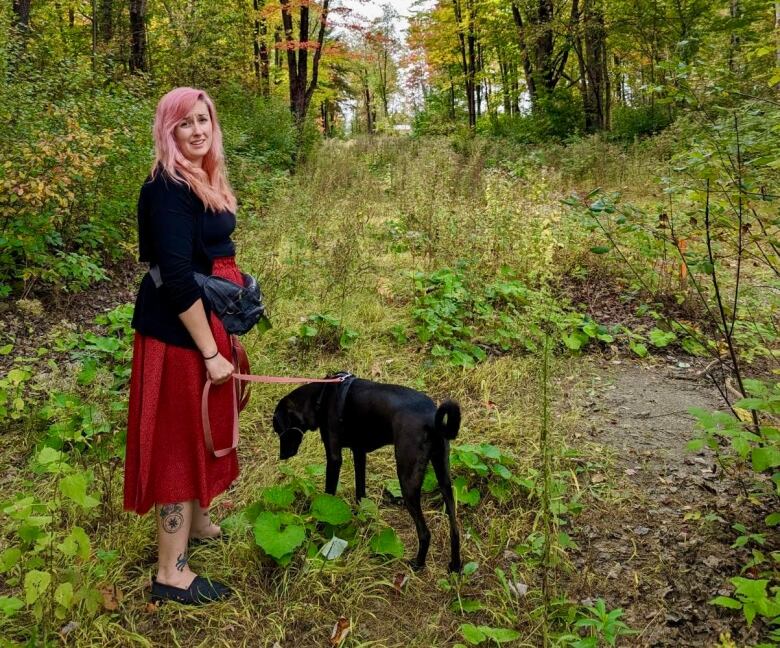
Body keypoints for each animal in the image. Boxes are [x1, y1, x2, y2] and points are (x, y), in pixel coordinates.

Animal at [272, 374, 460, 572]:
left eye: (278, 429)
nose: (282, 456)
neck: (322, 396)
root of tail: (432, 418)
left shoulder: (334, 458)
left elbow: (328, 495)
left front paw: (321, 528)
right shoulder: (359, 452)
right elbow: (360, 491)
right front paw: (361, 517)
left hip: (407, 480)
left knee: (425, 532)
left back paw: (418, 564)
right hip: (444, 478)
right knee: (455, 529)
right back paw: (455, 565)